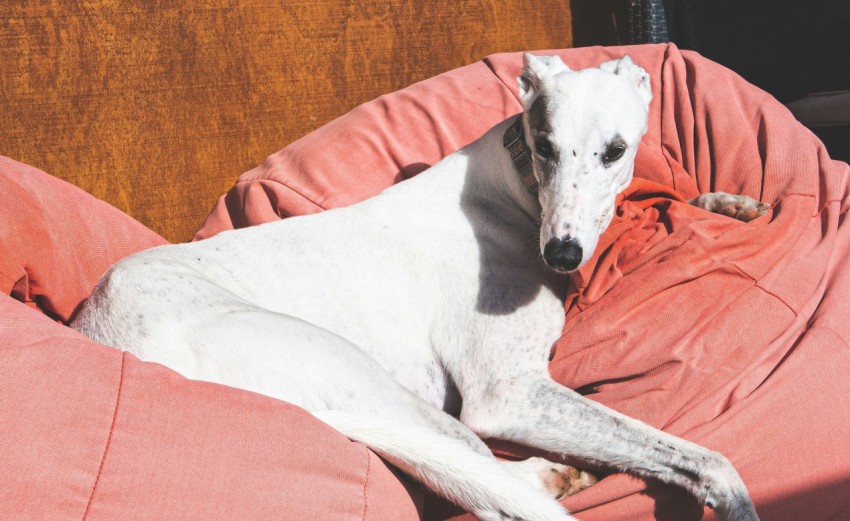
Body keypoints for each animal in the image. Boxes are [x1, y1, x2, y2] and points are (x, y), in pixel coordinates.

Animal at [73, 53, 760, 520]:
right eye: (544, 145)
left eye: (615, 150)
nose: (562, 253)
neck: (514, 189)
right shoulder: (508, 394)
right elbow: (698, 454)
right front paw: (731, 495)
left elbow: (656, 196)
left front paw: (727, 202)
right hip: (371, 381)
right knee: (487, 484)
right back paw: (555, 479)